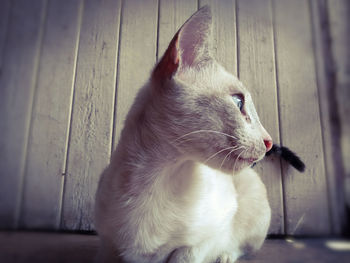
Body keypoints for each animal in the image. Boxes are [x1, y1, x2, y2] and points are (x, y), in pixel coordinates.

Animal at [95, 6, 274, 263]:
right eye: (238, 102)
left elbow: (188, 253)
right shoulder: (107, 246)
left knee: (242, 247)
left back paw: (225, 257)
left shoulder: (207, 237)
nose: (270, 143)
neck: (155, 178)